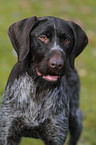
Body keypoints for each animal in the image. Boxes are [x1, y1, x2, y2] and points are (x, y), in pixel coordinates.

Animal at [0, 16, 88, 144]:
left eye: (67, 40)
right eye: (43, 37)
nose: (57, 64)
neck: (38, 87)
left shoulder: (56, 134)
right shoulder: (8, 132)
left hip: (75, 117)